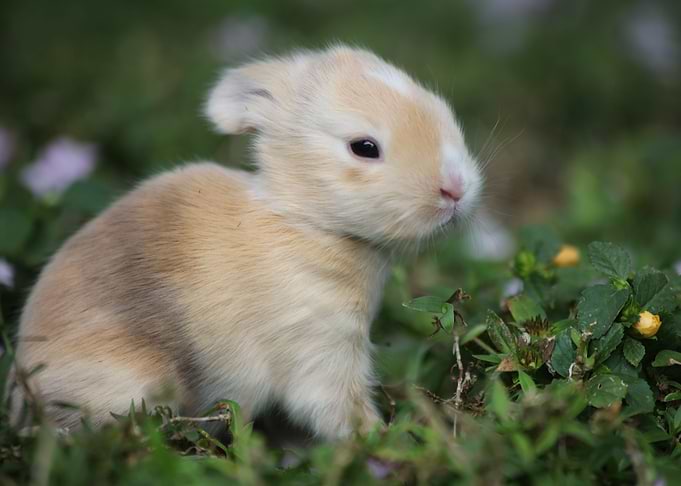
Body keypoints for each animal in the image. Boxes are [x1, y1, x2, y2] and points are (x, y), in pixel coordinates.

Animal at [12, 45, 483, 440]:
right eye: (364, 147)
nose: (456, 189)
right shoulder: (318, 348)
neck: (306, 221)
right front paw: (383, 440)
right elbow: (334, 409)